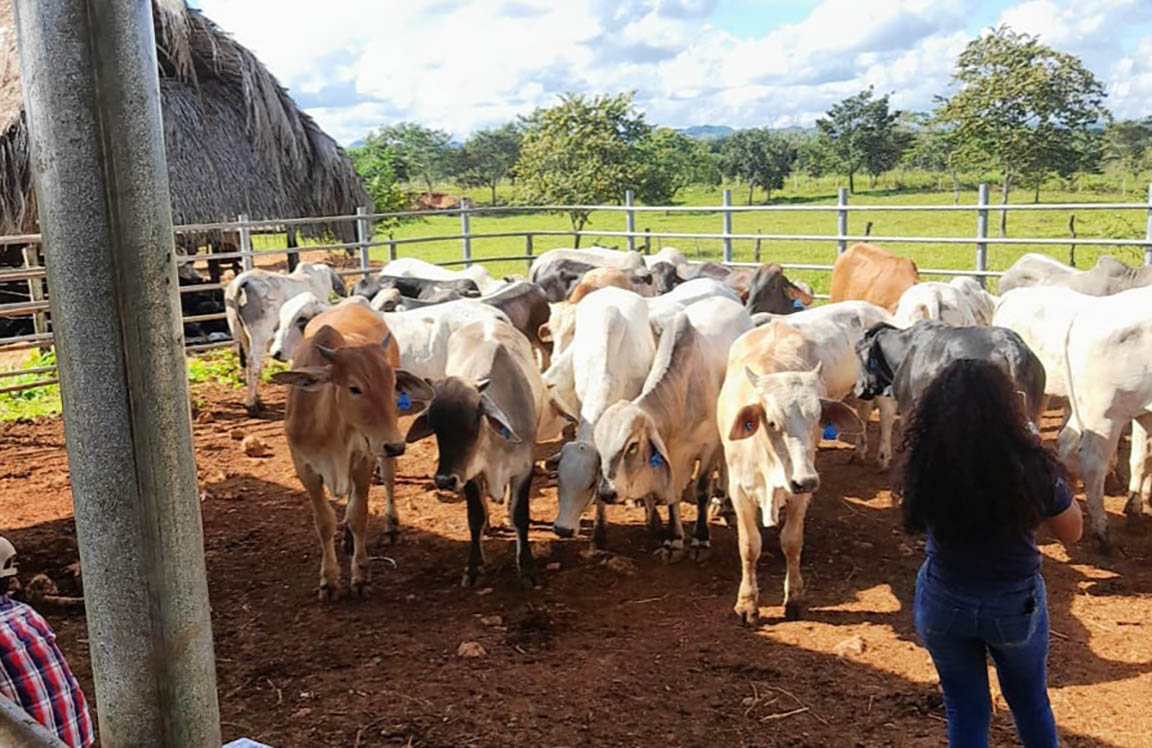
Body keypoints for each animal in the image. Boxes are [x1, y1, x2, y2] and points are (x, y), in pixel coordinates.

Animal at [223, 262, 345, 414]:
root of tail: (244, 279)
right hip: (260, 335)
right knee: (253, 364)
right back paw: (251, 404)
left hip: (240, 334)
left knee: (246, 363)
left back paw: (256, 400)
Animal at [270, 303, 433, 600]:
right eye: (354, 388)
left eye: (392, 385)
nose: (395, 445)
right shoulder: (304, 467)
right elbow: (324, 521)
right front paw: (329, 580)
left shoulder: (363, 458)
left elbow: (359, 514)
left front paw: (360, 575)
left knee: (388, 478)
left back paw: (390, 526)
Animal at [404, 317, 545, 587]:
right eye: (435, 428)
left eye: (472, 424)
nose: (444, 480)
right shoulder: (468, 474)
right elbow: (475, 516)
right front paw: (473, 566)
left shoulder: (524, 469)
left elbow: (520, 516)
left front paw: (527, 567)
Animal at [591, 298, 752, 561]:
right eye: (600, 447)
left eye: (632, 445)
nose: (606, 493)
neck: (683, 393)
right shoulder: (672, 453)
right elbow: (672, 494)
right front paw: (674, 539)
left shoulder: (709, 447)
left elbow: (701, 490)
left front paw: (700, 539)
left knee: (726, 467)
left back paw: (725, 504)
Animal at [718, 320, 864, 623]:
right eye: (773, 422)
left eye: (817, 419)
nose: (806, 480)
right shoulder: (739, 490)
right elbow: (749, 545)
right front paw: (747, 603)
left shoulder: (801, 493)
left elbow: (792, 542)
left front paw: (794, 597)